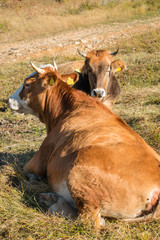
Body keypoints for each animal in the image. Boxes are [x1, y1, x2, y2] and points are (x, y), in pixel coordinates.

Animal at [8, 61, 160, 229]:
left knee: (91, 221)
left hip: (78, 174)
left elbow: (27, 172)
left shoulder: (38, 159)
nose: (9, 99)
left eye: (27, 84)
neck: (65, 110)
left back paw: (53, 201)